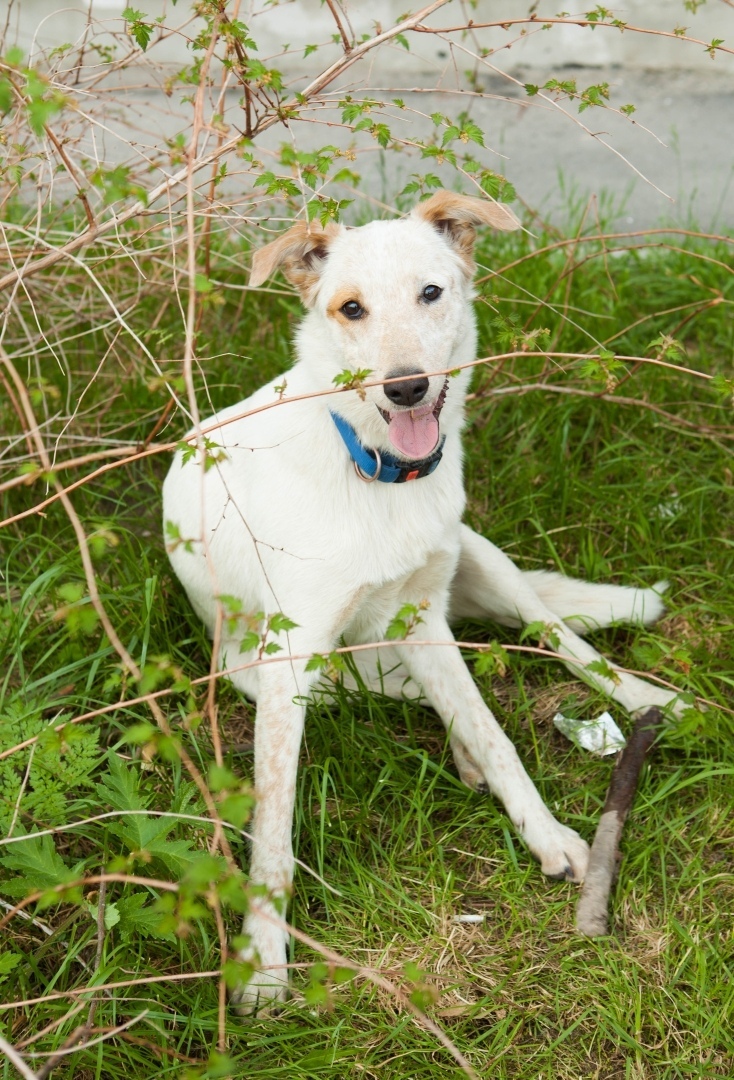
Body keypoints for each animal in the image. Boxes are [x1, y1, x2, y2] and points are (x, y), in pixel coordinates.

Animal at [161, 190, 682, 1006]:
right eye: (350, 308)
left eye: (431, 293)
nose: (404, 386)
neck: (374, 468)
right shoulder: (289, 661)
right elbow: (273, 825)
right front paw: (264, 961)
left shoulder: (422, 613)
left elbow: (499, 736)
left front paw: (549, 837)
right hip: (300, 669)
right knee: (415, 689)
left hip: (480, 557)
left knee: (557, 636)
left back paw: (639, 696)